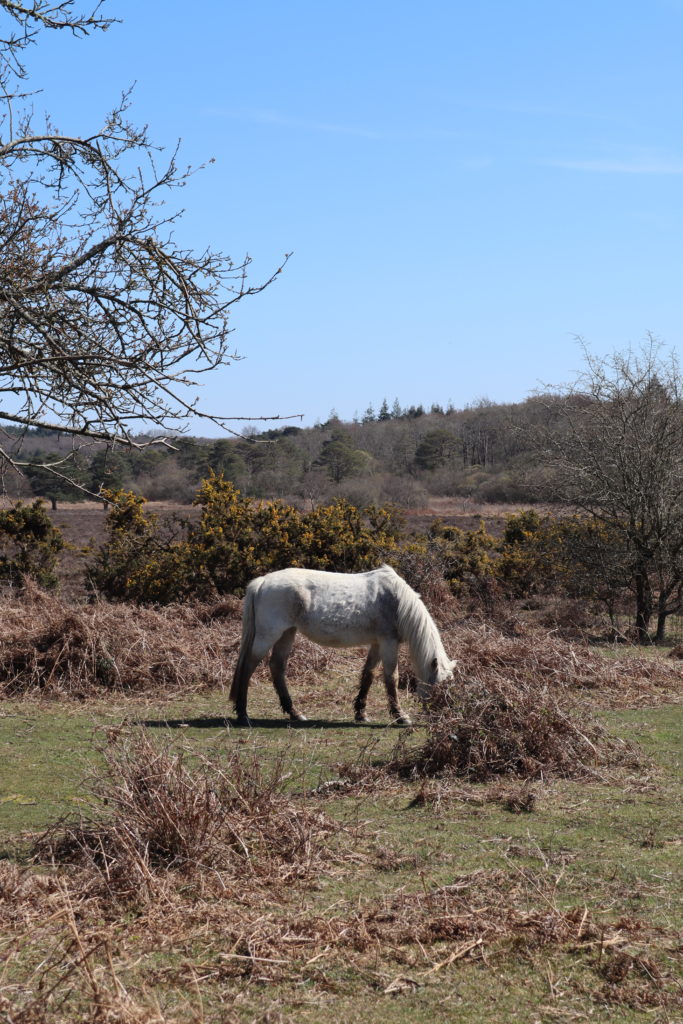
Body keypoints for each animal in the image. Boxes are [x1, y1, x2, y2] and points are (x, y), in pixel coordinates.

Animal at [231, 569, 458, 729]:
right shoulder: (388, 643)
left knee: (277, 667)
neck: (396, 601)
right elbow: (391, 677)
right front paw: (400, 716)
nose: (445, 718)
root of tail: (262, 582)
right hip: (268, 635)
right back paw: (243, 714)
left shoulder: (377, 644)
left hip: (287, 633)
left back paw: (295, 713)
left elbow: (368, 675)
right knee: (248, 667)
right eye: (440, 688)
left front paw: (361, 713)